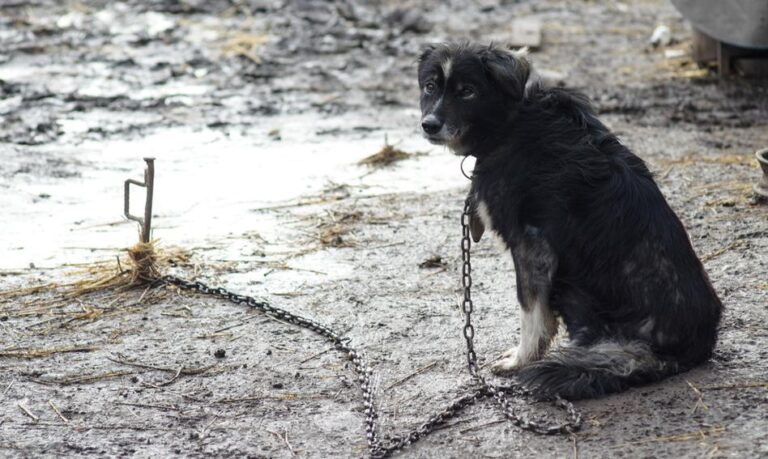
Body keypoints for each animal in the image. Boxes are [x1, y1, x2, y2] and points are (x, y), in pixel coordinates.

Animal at [416, 43, 724, 400]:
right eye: (430, 87)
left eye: (468, 91)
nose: (429, 124)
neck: (510, 122)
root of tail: (692, 348)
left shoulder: (532, 245)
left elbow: (531, 311)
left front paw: (520, 360)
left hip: (574, 284)